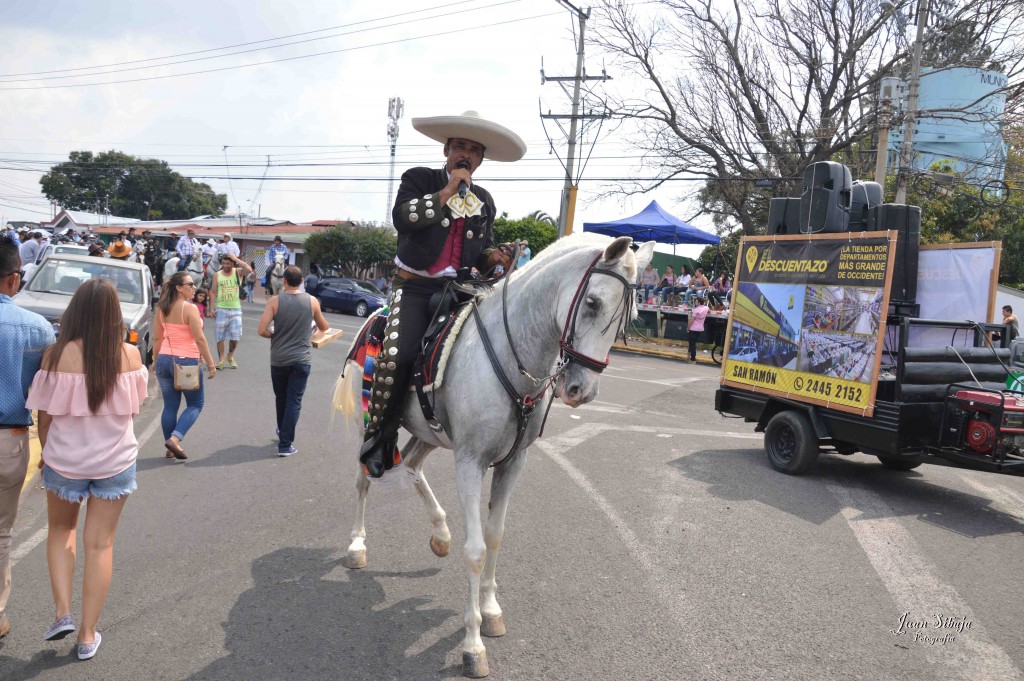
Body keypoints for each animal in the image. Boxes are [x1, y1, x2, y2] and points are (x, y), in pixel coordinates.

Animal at [335, 232, 655, 675]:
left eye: (632, 315)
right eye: (592, 303)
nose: (581, 391)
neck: (511, 355)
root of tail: (375, 315)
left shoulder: (512, 463)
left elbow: (495, 536)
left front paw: (489, 610)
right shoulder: (470, 462)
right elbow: (475, 551)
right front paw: (473, 645)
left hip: (429, 432)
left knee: (413, 466)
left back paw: (440, 534)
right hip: (372, 422)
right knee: (364, 476)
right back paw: (357, 546)